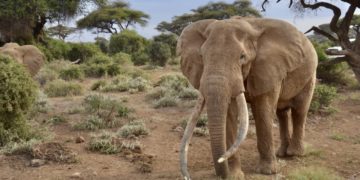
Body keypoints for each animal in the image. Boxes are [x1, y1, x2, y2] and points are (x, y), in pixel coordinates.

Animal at [179, 16, 316, 179]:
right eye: (201, 57)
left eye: (242, 57)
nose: (220, 172)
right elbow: (229, 115)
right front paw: (234, 176)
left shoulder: (268, 68)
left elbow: (262, 112)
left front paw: (267, 172)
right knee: (282, 113)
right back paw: (282, 153)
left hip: (310, 74)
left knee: (299, 111)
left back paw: (295, 154)